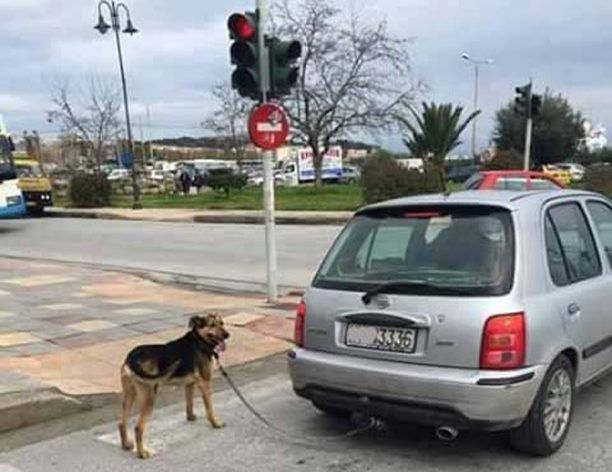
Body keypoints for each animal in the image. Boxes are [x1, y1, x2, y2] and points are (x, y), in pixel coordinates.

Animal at [117, 312, 230, 460]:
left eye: (222, 323)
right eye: (212, 325)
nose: (227, 335)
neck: (198, 340)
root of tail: (131, 358)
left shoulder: (190, 384)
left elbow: (189, 403)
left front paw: (191, 417)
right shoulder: (206, 384)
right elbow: (209, 409)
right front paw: (216, 423)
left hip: (129, 395)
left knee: (122, 422)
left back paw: (126, 445)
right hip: (148, 397)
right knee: (138, 427)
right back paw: (142, 453)